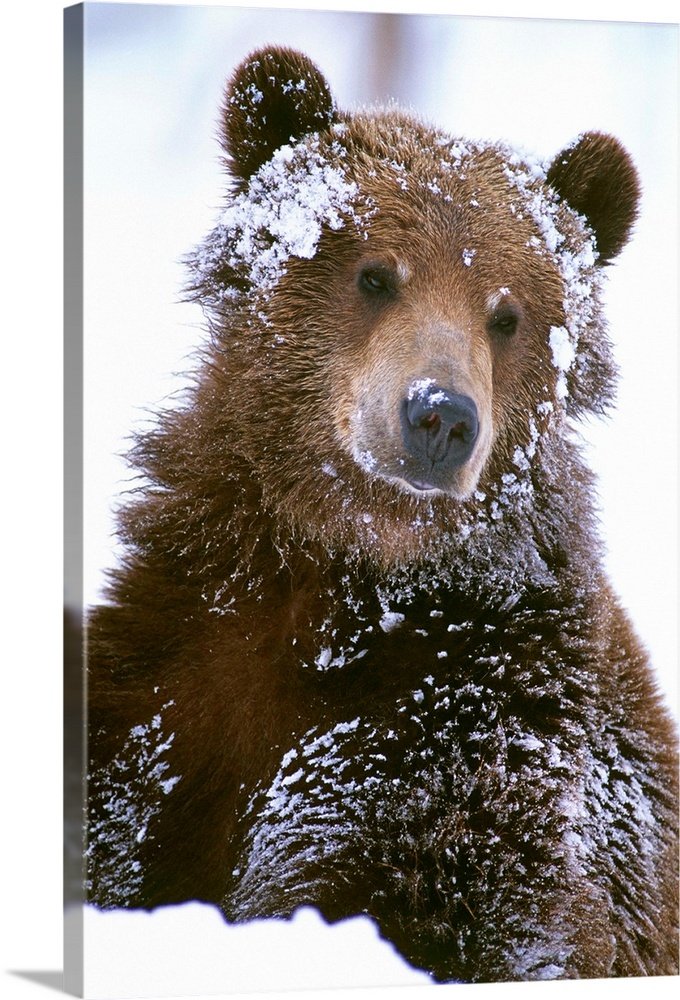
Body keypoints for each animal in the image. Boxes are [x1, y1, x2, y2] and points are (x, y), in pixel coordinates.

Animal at [86, 46, 679, 983]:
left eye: (507, 314)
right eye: (374, 273)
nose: (441, 415)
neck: (342, 573)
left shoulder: (462, 731)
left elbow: (422, 893)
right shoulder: (172, 674)